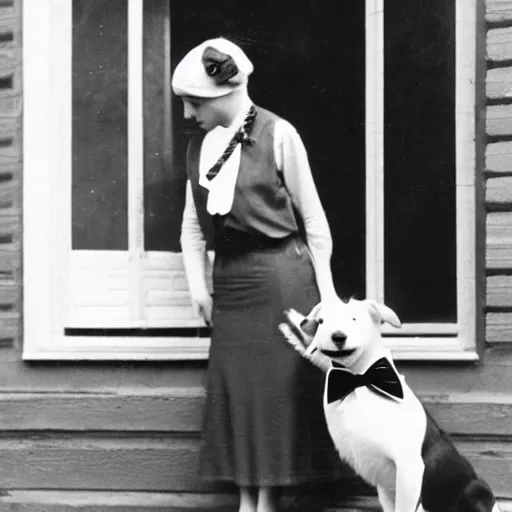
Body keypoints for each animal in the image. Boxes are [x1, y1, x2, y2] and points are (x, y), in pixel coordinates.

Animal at [280, 298, 500, 512]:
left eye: (354, 318)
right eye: (322, 322)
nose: (338, 336)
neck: (359, 379)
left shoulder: (409, 469)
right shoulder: (386, 487)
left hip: (476, 490)